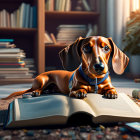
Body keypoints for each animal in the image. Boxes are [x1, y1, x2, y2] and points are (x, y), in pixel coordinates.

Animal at [1, 36, 129, 99]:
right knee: (36, 89)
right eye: (86, 48)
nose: (99, 66)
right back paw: (36, 92)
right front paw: (80, 92)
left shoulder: (108, 85)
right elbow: (78, 90)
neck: (94, 79)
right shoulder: (74, 88)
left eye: (106, 48)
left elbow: (111, 89)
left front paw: (111, 93)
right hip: (42, 80)